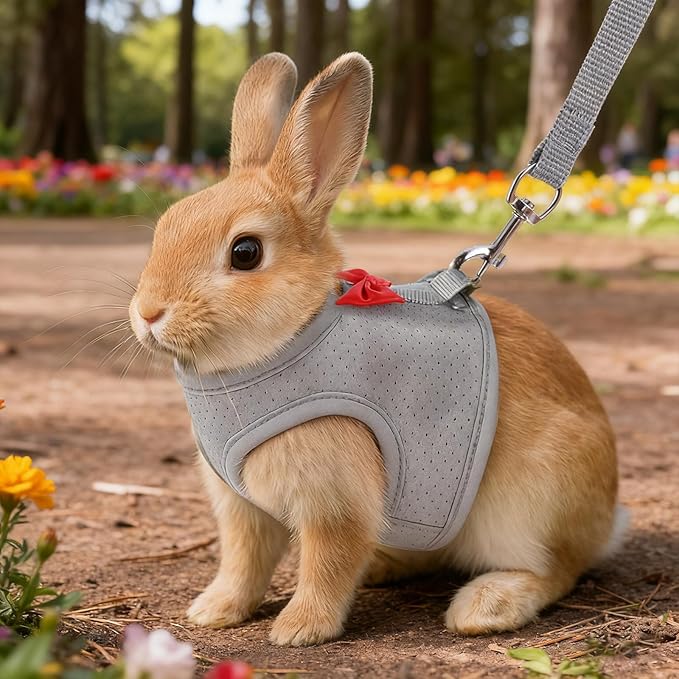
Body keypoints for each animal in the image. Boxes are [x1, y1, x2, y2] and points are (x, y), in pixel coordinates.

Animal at [129, 51, 622, 647]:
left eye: (245, 252)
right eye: (164, 226)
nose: (148, 312)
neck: (289, 342)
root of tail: (607, 516)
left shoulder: (337, 499)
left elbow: (327, 562)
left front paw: (298, 630)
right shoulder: (243, 508)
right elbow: (244, 562)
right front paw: (214, 610)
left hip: (529, 506)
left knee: (554, 569)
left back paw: (485, 607)